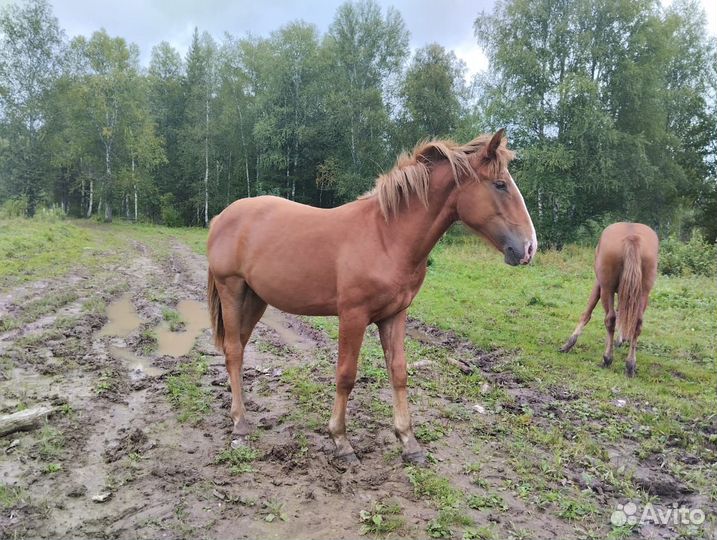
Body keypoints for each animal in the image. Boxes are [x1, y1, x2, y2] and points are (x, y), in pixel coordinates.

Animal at [206, 129, 537, 464]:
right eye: (500, 184)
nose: (528, 248)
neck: (387, 237)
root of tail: (222, 217)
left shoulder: (395, 315)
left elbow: (399, 372)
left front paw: (408, 440)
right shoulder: (353, 316)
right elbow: (346, 375)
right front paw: (341, 440)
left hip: (255, 298)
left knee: (239, 347)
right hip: (231, 288)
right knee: (234, 350)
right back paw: (240, 421)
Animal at [560, 222, 659, 377]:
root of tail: (632, 237)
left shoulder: (599, 284)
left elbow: (587, 313)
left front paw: (569, 343)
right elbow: (623, 314)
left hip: (607, 289)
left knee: (610, 319)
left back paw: (607, 358)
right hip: (643, 293)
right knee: (636, 323)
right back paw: (630, 364)